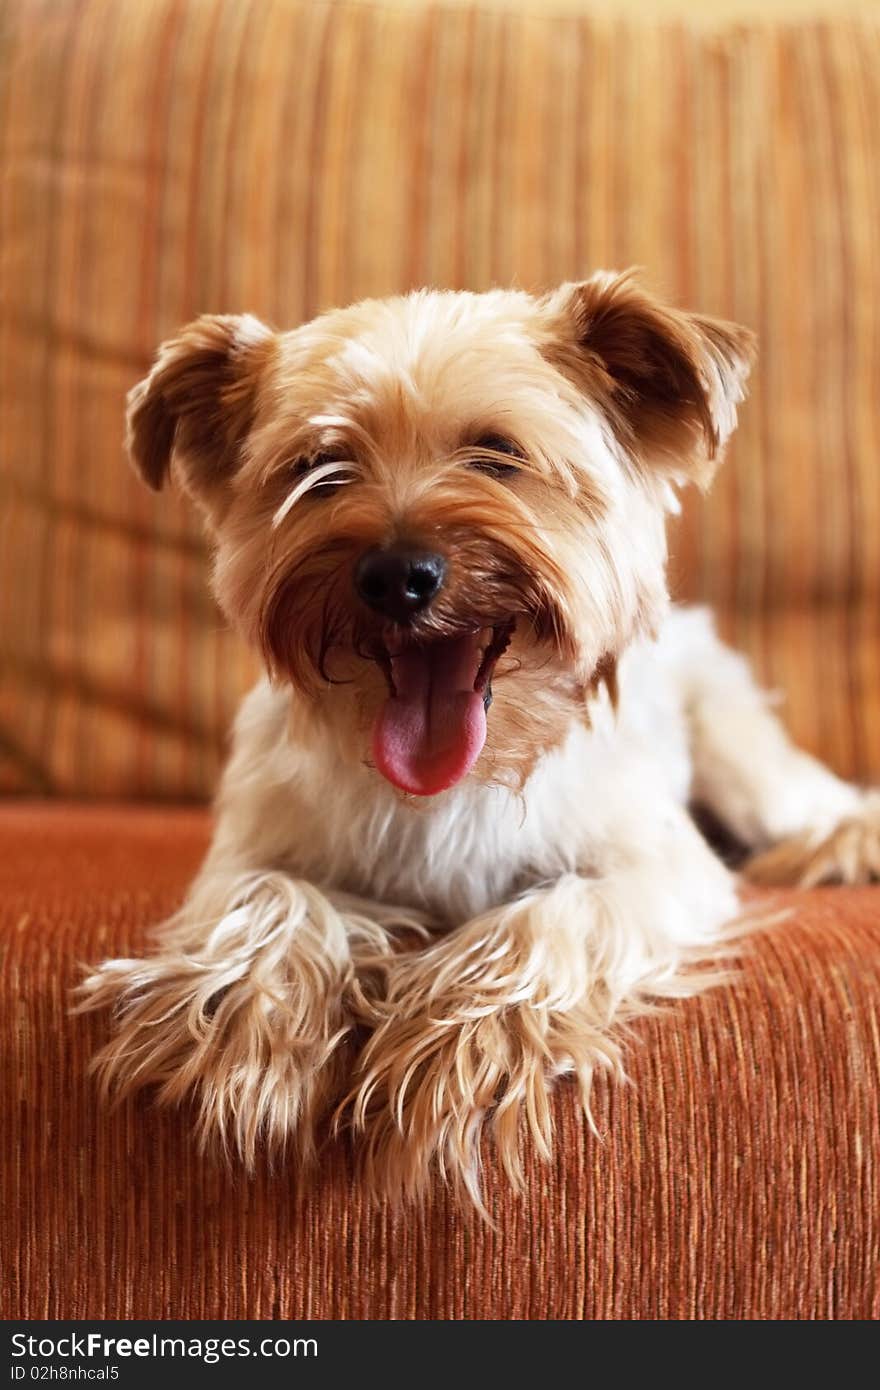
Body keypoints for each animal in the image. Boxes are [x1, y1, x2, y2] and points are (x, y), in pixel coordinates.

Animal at [78, 271, 873, 1206]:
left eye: (498, 455)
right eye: (318, 469)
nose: (396, 574)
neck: (463, 778)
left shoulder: (659, 871)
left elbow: (546, 919)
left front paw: (455, 1050)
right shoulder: (246, 855)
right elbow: (270, 900)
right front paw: (247, 1037)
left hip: (740, 759)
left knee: (817, 801)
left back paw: (839, 845)